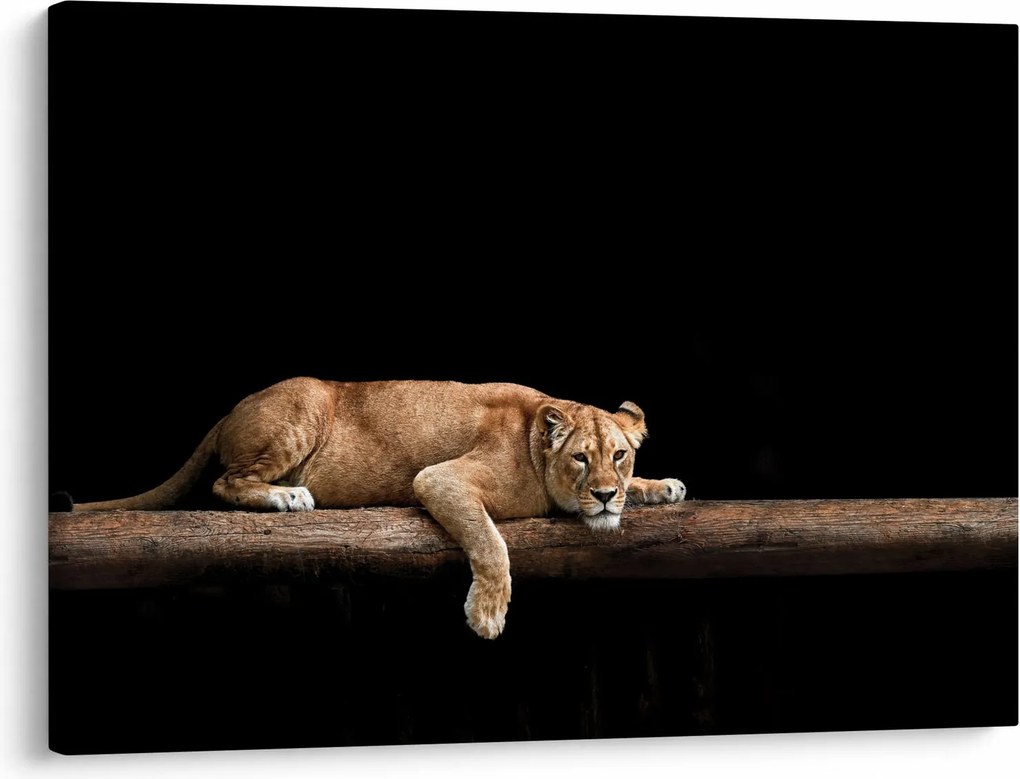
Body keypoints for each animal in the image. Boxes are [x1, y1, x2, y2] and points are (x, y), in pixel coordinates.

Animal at [71, 379, 686, 638]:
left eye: (619, 456)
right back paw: (287, 495)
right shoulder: (439, 480)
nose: (604, 495)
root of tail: (229, 411)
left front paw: (662, 486)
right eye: (581, 459)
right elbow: (491, 544)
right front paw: (488, 614)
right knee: (226, 482)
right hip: (302, 410)